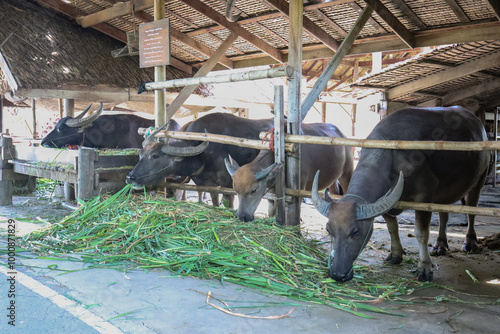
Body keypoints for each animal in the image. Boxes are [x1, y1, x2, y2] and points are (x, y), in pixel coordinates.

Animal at [125, 113, 274, 206]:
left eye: (155, 156)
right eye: (140, 154)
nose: (130, 177)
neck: (204, 156)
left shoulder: (228, 183)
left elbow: (228, 203)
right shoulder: (208, 184)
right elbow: (214, 201)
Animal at [312, 106, 488, 282]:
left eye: (355, 231)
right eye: (328, 230)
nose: (337, 274)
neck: (391, 157)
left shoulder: (424, 195)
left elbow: (421, 233)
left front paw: (424, 268)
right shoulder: (387, 200)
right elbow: (392, 227)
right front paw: (396, 254)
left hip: (480, 180)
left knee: (471, 211)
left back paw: (469, 242)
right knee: (444, 214)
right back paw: (440, 245)